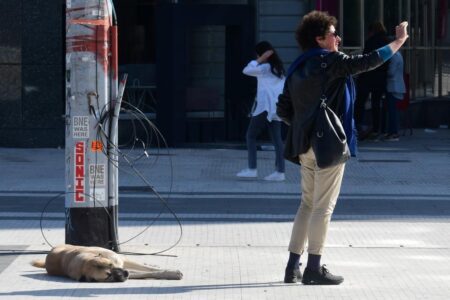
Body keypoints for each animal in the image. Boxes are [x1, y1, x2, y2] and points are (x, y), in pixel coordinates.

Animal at [31, 243, 183, 282]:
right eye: (108, 276)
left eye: (110, 264)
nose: (125, 273)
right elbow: (144, 273)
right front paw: (171, 274)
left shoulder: (120, 261)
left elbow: (148, 269)